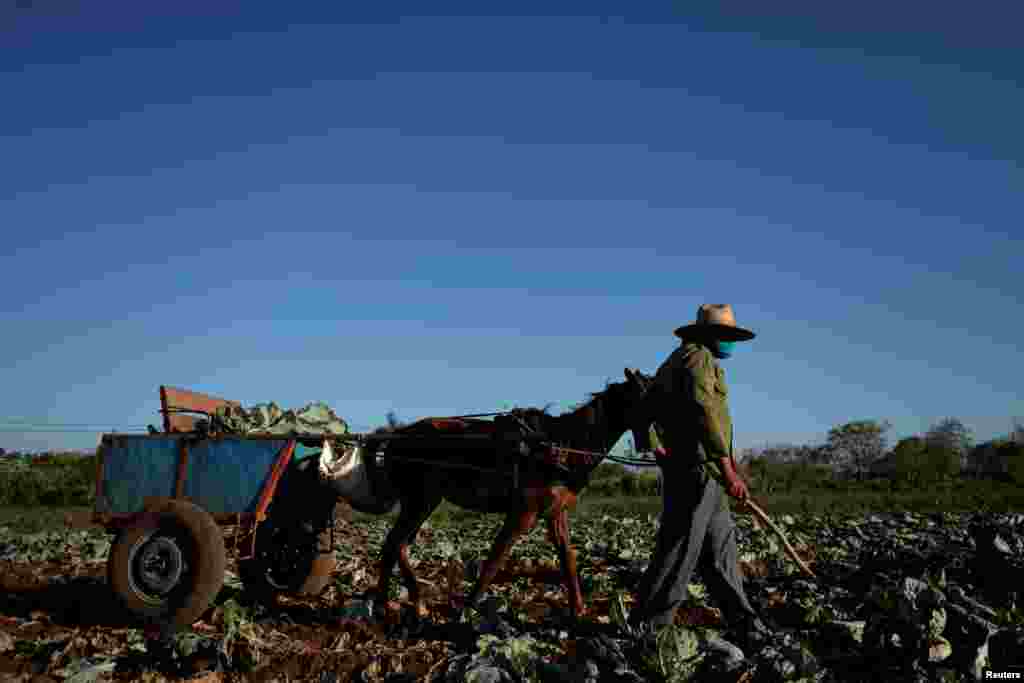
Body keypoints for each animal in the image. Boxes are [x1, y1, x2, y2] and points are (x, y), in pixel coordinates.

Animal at [364, 368, 647, 618]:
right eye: (650, 390)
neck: (562, 446)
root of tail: (398, 434)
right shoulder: (523, 514)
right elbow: (495, 560)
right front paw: (467, 609)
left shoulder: (555, 513)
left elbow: (568, 559)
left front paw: (578, 610)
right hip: (419, 500)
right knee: (394, 543)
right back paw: (387, 604)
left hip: (424, 502)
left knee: (398, 545)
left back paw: (410, 600)